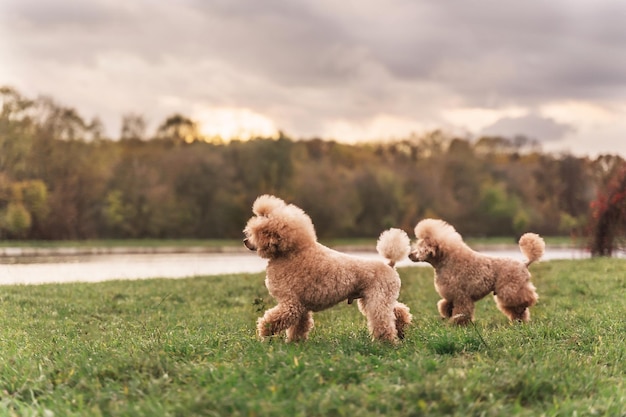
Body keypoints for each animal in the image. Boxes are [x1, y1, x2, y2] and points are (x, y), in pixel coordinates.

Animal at [241, 194, 412, 342]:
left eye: (256, 233)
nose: (244, 241)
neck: (290, 252)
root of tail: (390, 264)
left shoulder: (291, 303)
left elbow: (275, 319)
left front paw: (264, 331)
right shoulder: (301, 305)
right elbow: (299, 326)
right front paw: (295, 343)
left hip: (378, 298)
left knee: (383, 321)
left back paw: (387, 342)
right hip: (377, 298)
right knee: (398, 311)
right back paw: (401, 330)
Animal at [408, 218, 544, 324]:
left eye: (420, 248)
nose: (410, 255)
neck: (446, 260)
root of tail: (524, 263)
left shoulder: (461, 296)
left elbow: (461, 311)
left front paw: (458, 324)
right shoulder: (452, 295)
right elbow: (446, 305)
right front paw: (448, 314)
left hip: (511, 288)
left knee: (524, 301)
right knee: (517, 310)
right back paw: (519, 320)